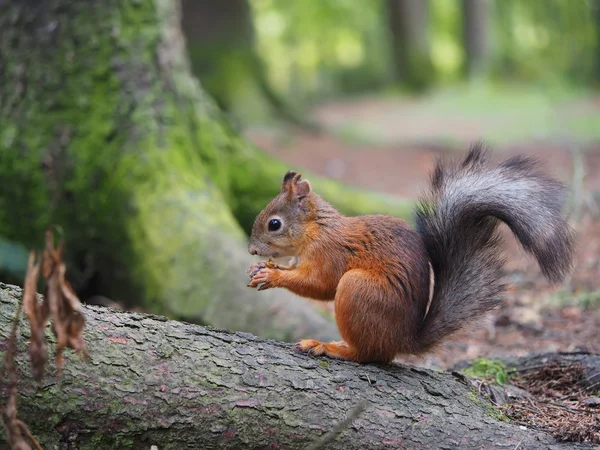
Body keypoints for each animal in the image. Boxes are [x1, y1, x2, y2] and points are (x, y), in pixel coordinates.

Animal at [246, 142, 576, 364]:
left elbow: (320, 284)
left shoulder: (330, 253)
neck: (317, 229)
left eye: (274, 224)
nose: (251, 250)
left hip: (359, 290)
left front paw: (272, 276)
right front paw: (261, 270)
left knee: (369, 355)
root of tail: (404, 340)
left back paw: (330, 347)